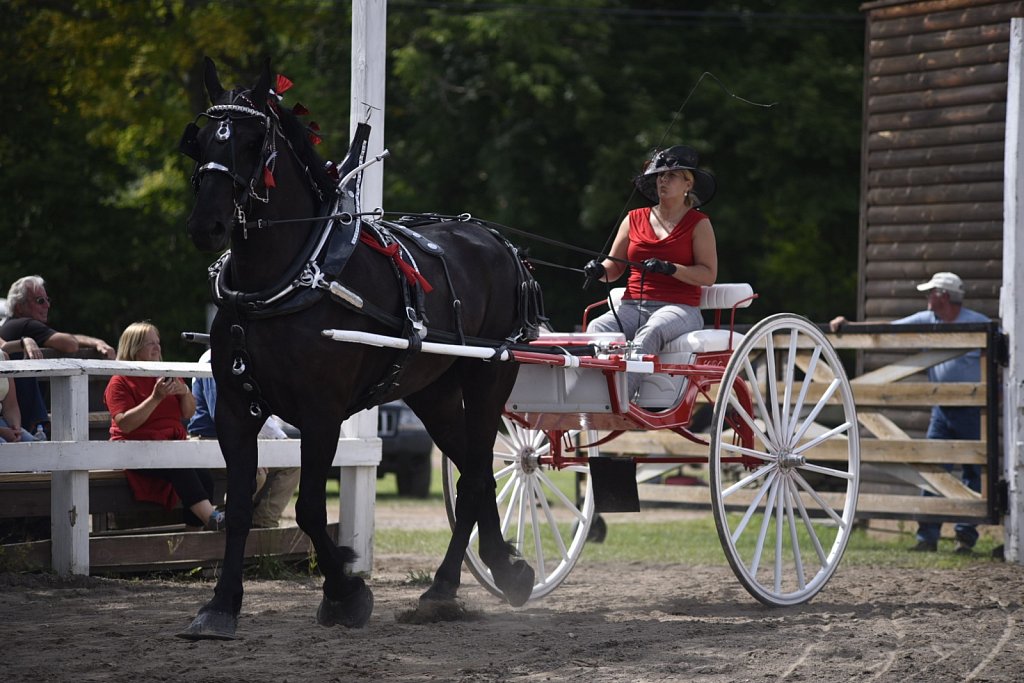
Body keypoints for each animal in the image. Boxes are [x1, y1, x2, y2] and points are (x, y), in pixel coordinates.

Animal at [179, 58, 540, 643]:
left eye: (255, 142)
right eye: (202, 138)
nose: (206, 224)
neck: (289, 277)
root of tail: (502, 245)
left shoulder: (321, 412)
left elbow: (308, 508)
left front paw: (345, 592)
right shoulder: (235, 409)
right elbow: (237, 513)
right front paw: (221, 604)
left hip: (488, 377)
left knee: (478, 474)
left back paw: (457, 584)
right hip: (434, 392)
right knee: (473, 473)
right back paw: (484, 575)